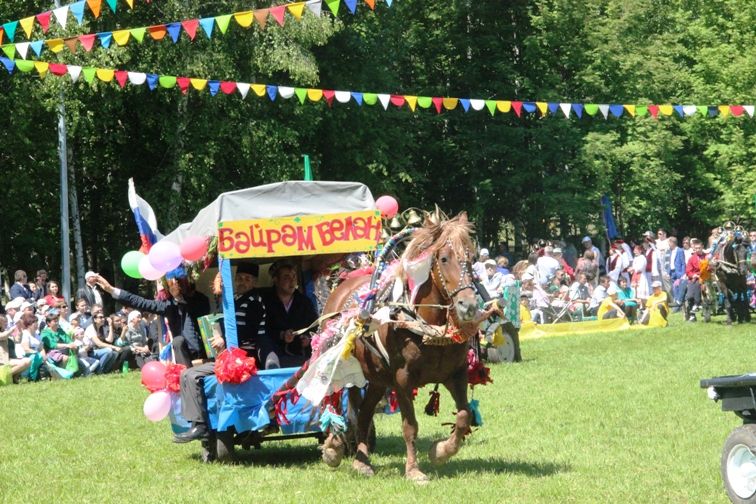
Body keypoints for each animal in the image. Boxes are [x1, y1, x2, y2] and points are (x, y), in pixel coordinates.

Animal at [318, 211, 496, 482]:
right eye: (444, 258)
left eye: (471, 258)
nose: (468, 306)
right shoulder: (402, 379)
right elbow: (410, 426)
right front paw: (413, 470)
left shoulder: (457, 374)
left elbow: (464, 415)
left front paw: (441, 451)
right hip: (346, 368)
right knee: (341, 403)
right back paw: (335, 446)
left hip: (377, 379)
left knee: (364, 413)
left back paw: (361, 460)